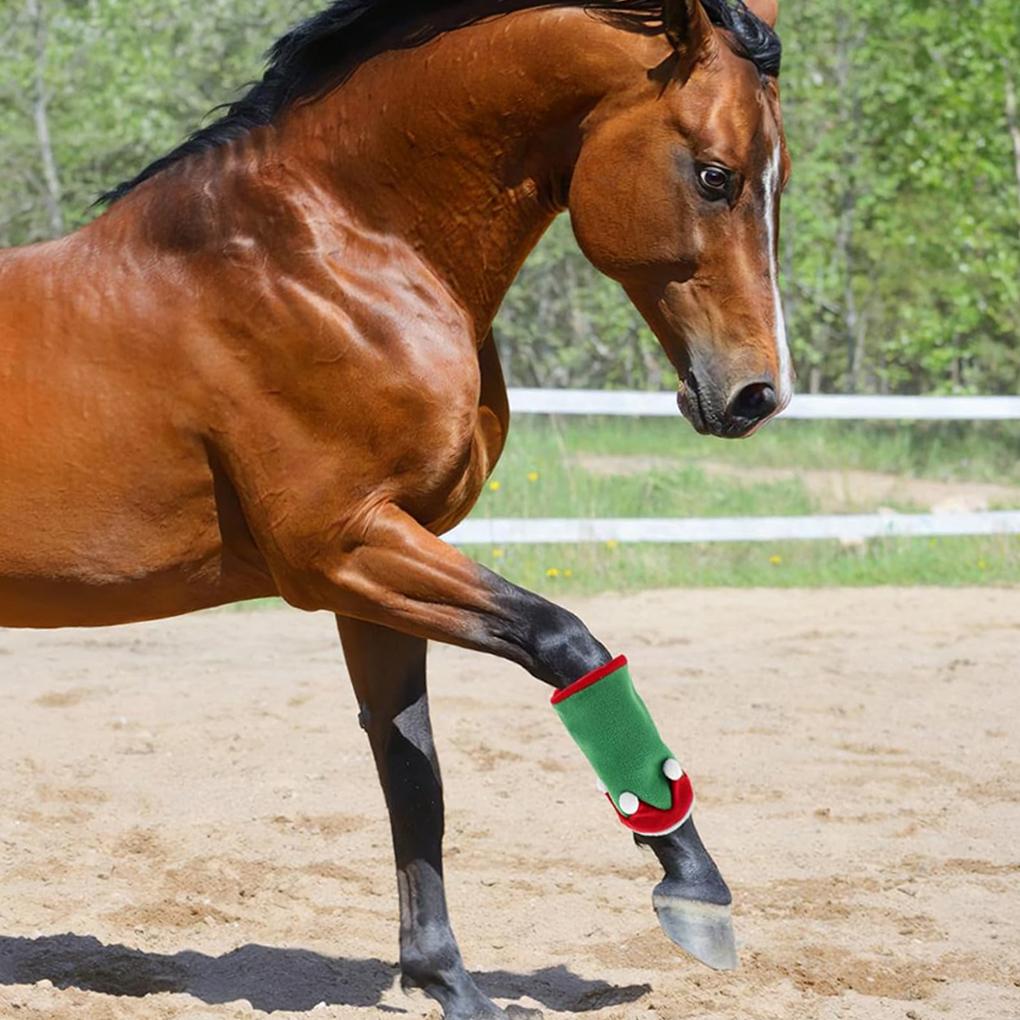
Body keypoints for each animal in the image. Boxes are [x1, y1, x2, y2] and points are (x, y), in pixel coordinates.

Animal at [0, 1, 791, 1016]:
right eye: (716, 174)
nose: (757, 395)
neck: (336, 258)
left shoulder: (376, 569)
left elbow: (413, 774)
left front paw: (447, 980)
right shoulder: (341, 549)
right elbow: (565, 643)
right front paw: (696, 891)